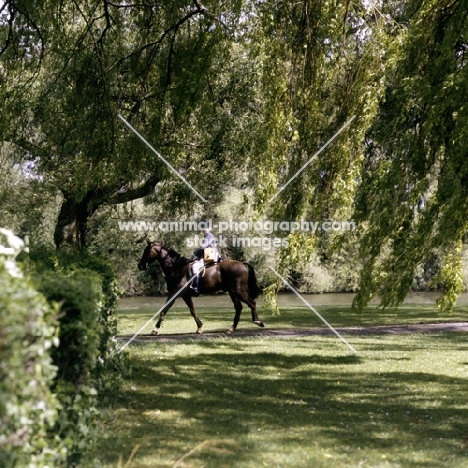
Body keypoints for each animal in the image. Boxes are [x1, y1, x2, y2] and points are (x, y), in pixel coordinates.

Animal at [137, 239, 266, 334]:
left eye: (146, 251)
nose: (140, 266)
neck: (176, 267)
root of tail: (241, 263)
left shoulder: (176, 294)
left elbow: (166, 310)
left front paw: (155, 329)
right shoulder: (182, 295)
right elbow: (191, 310)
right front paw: (199, 327)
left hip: (239, 291)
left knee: (252, 303)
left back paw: (258, 321)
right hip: (232, 292)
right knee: (239, 307)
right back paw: (231, 328)